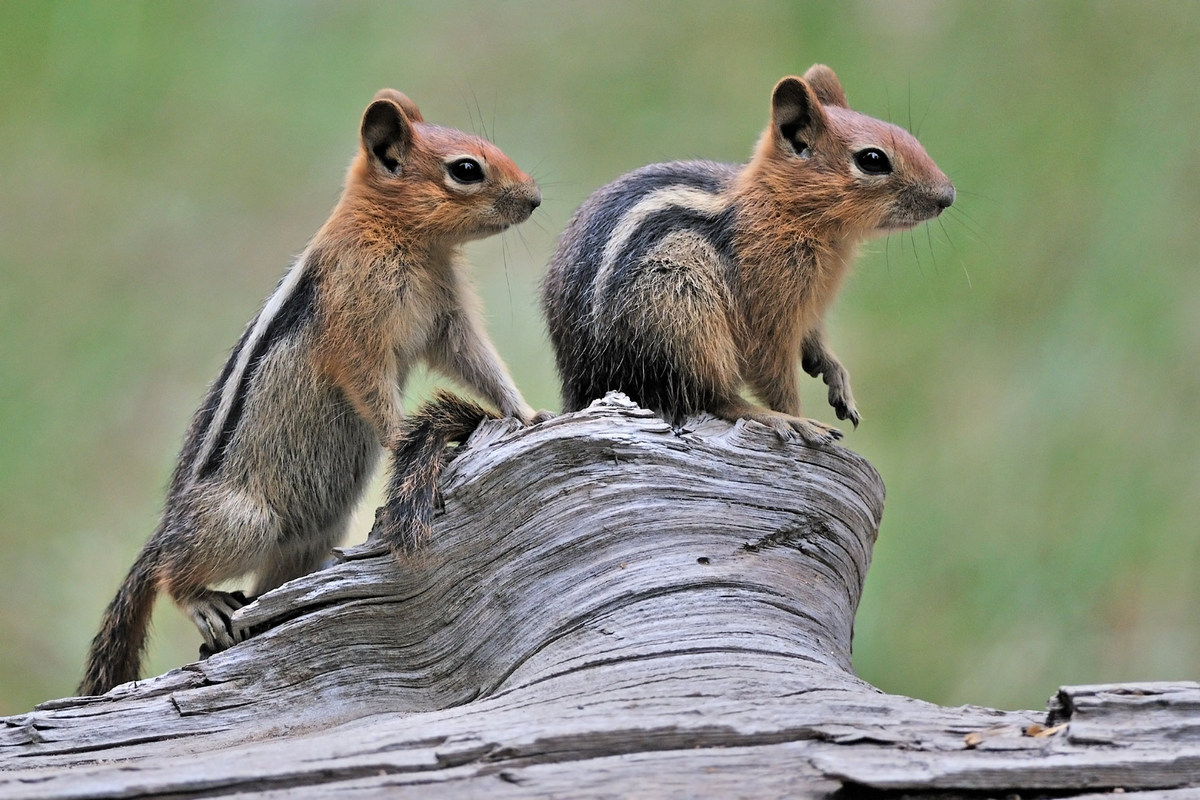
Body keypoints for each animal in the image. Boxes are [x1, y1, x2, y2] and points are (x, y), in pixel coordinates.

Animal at [78, 89, 541, 696]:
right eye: (466, 169)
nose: (535, 199)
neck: (400, 236)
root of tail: (166, 528)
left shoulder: (447, 320)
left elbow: (479, 363)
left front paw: (526, 412)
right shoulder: (356, 322)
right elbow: (369, 385)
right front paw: (405, 438)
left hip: (310, 537)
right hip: (241, 521)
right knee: (170, 574)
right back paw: (203, 602)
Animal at [541, 64, 955, 444]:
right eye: (872, 159)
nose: (947, 196)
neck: (783, 208)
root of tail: (582, 387)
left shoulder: (810, 307)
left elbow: (816, 341)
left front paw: (837, 377)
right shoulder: (769, 315)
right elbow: (775, 376)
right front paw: (798, 417)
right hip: (683, 321)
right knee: (711, 397)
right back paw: (772, 418)